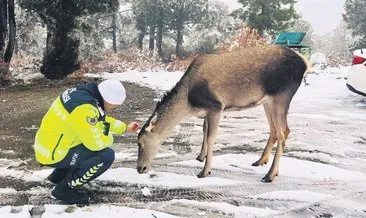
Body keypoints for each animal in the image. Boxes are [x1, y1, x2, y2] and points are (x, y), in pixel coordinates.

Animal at [137, 45, 308, 182]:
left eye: (140, 142)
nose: (139, 169)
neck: (188, 102)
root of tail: (305, 63)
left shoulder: (216, 106)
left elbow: (211, 137)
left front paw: (205, 171)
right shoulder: (207, 111)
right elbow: (204, 131)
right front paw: (200, 157)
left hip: (281, 96)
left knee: (283, 132)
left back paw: (270, 175)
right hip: (267, 102)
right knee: (276, 130)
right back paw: (261, 161)